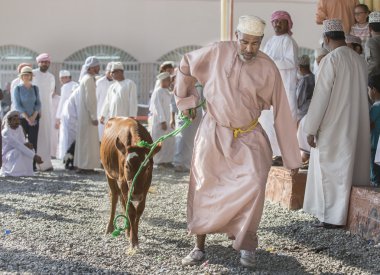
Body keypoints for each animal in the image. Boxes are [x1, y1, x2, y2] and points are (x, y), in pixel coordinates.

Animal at [100, 117, 160, 249]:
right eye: (127, 166)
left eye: (148, 167)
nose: (136, 195)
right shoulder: (123, 181)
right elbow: (132, 210)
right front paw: (133, 240)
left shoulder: (147, 183)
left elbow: (139, 209)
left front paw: (134, 234)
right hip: (109, 174)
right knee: (115, 197)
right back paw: (110, 227)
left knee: (123, 201)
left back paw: (127, 230)